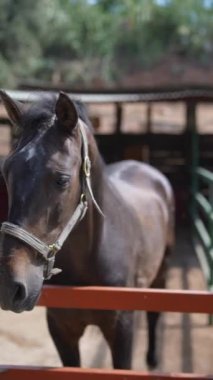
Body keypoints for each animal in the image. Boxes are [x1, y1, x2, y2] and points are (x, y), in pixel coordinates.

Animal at [0, 90, 174, 370]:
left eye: (62, 179)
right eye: (6, 171)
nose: (9, 286)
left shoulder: (122, 329)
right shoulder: (61, 330)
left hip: (162, 271)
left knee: (155, 312)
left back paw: (153, 359)